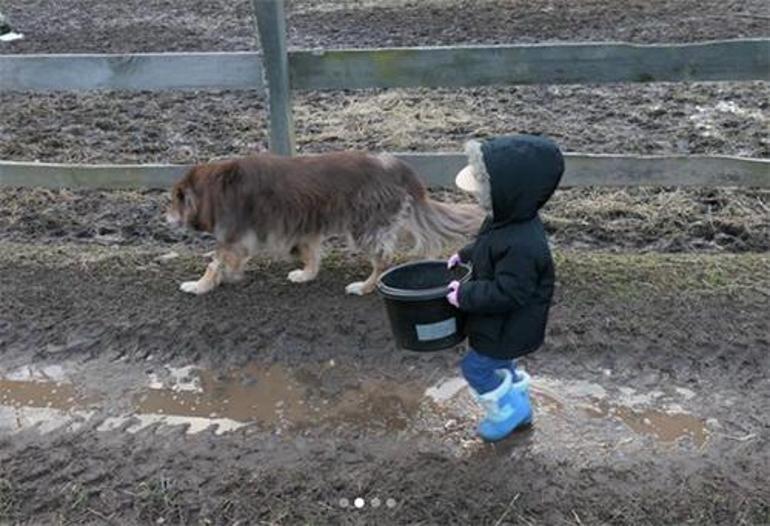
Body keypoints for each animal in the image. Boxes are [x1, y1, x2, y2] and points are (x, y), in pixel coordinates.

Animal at [166, 152, 480, 296]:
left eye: (173, 200)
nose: (164, 217)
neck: (216, 187)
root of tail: (395, 165)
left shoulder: (234, 238)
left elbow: (215, 262)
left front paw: (199, 285)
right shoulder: (304, 227)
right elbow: (310, 254)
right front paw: (306, 275)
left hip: (364, 227)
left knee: (383, 260)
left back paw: (365, 286)